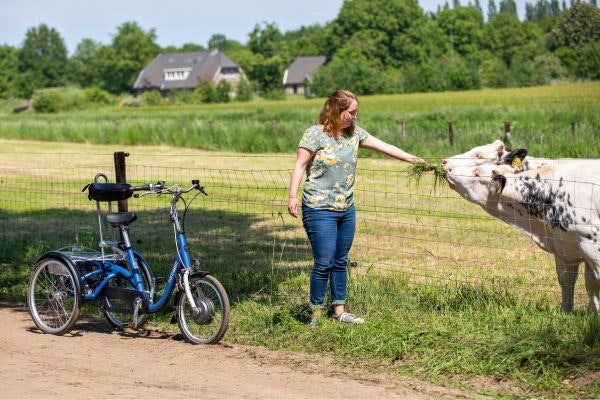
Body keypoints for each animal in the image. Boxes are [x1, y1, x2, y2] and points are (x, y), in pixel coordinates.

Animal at [440, 142, 600, 314]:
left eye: (479, 158)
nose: (445, 164)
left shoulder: (591, 245)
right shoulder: (565, 248)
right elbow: (575, 283)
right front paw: (576, 313)